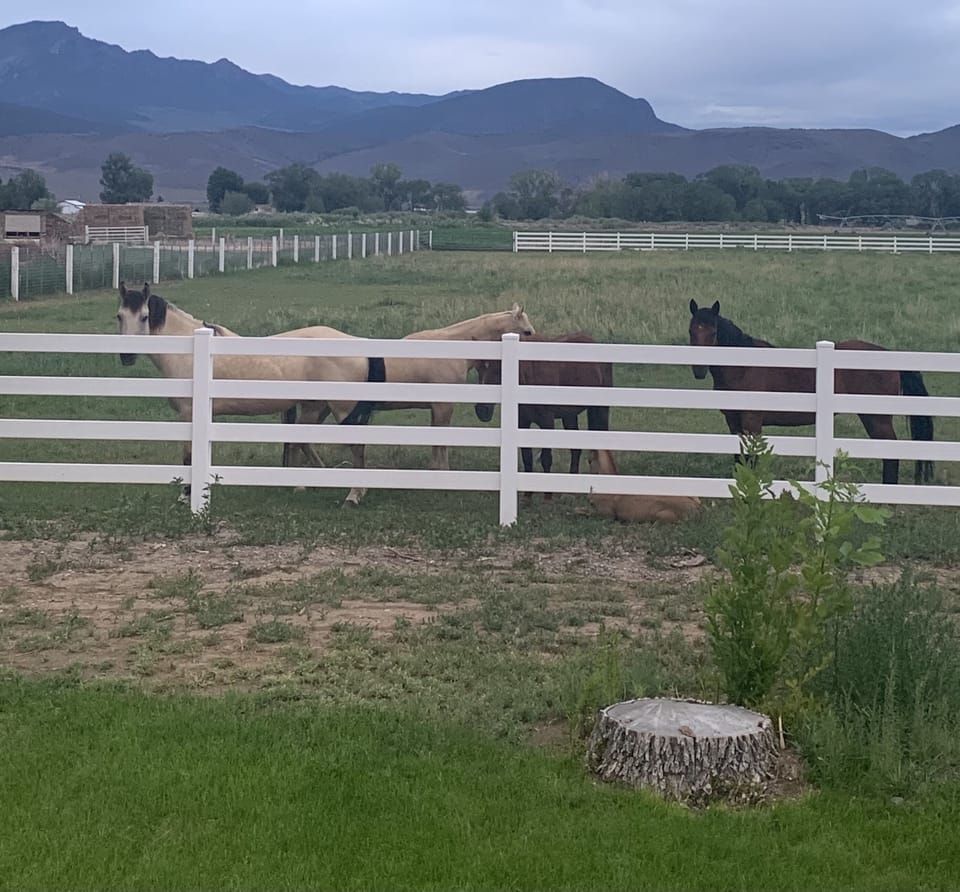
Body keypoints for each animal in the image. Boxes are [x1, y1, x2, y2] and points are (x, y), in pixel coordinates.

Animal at [473, 332, 612, 496]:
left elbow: (546, 458)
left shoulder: (547, 422)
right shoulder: (522, 422)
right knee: (575, 449)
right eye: (478, 370)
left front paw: (548, 495)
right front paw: (527, 496)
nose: (482, 410)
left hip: (599, 409)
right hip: (569, 415)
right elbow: (527, 457)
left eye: (499, 370)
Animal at [688, 299, 934, 485]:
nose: (699, 370)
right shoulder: (733, 422)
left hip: (877, 419)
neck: (743, 366)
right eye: (691, 331)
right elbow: (739, 458)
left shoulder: (752, 422)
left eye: (713, 332)